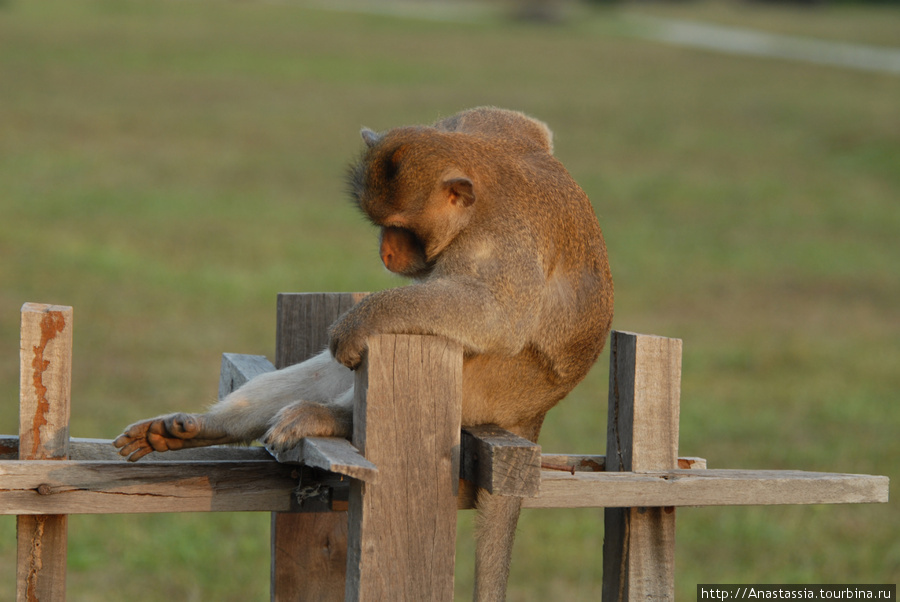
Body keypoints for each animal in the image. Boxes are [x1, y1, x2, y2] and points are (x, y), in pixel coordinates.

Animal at [116, 105, 616, 596]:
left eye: (399, 228)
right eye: (382, 227)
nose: (385, 252)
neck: (480, 194)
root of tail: (533, 414)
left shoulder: (500, 240)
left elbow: (496, 315)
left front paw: (357, 323)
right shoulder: (492, 128)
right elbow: (531, 126)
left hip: (489, 395)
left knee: (450, 338)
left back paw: (332, 418)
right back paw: (201, 429)